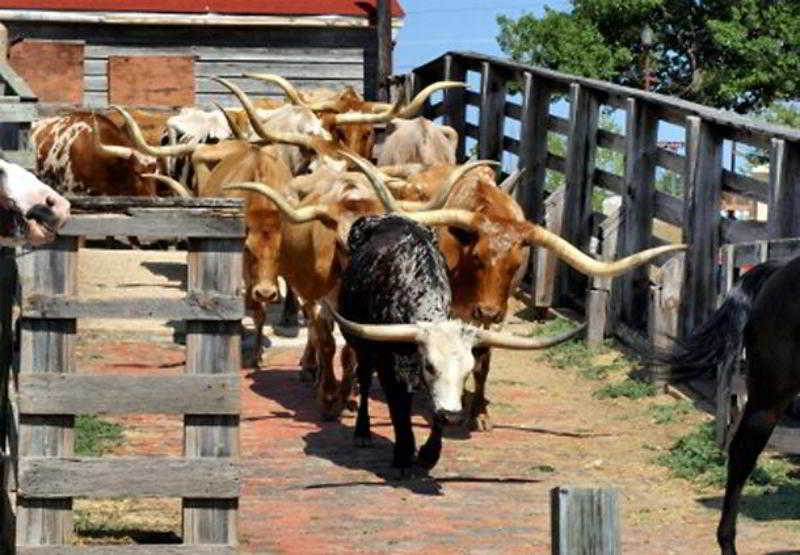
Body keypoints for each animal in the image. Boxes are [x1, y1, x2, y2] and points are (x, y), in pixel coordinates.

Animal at [334, 215, 584, 476]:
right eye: (430, 366)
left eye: (467, 371)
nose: (453, 418)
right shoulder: (390, 368)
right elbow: (398, 409)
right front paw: (403, 456)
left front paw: (428, 455)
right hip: (361, 346)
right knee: (363, 378)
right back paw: (362, 431)